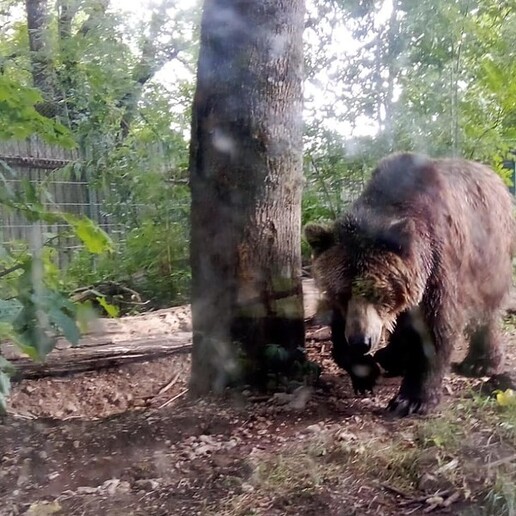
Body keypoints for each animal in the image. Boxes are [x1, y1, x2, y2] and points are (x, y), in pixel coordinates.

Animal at [304, 152, 512, 416]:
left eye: (377, 292)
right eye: (341, 293)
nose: (361, 342)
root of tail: (494, 178)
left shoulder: (437, 264)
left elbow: (435, 326)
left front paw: (411, 399)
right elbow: (340, 325)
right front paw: (364, 373)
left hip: (488, 254)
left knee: (487, 309)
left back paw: (481, 363)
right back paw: (391, 356)